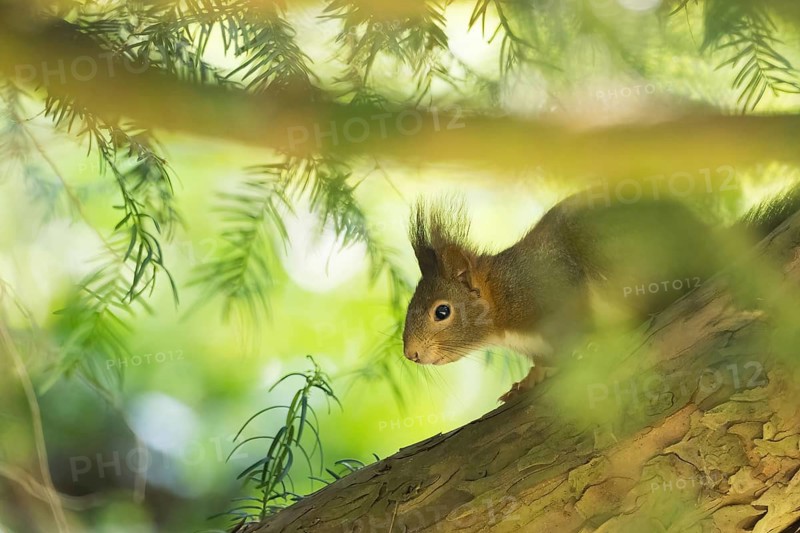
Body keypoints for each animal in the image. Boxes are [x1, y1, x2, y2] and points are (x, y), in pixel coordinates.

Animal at [402, 187, 800, 402]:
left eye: (442, 312)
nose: (411, 354)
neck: (503, 297)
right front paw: (528, 380)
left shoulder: (555, 292)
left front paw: (578, 352)